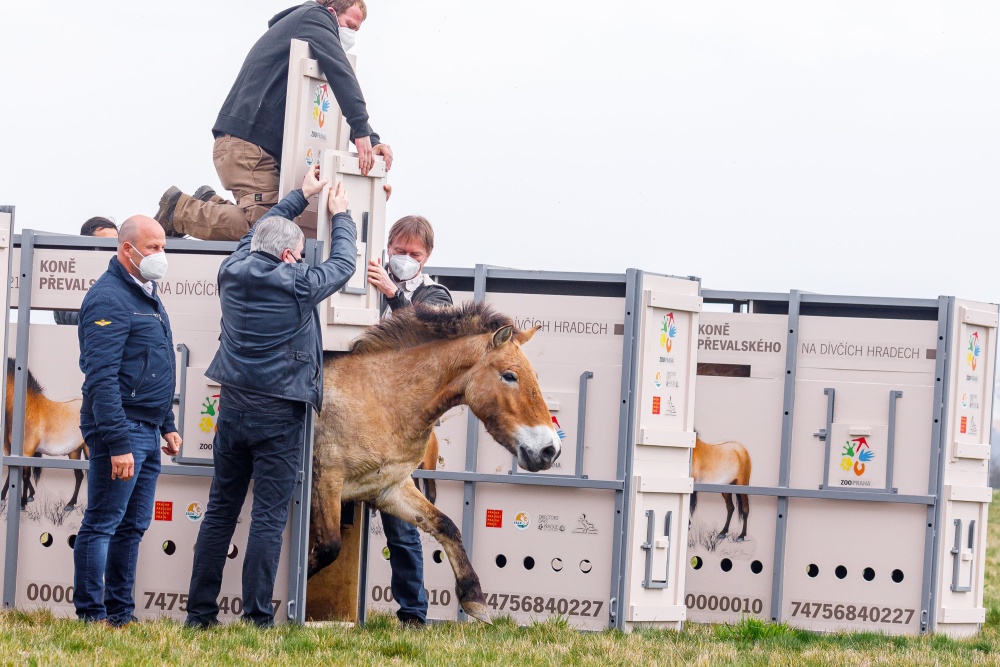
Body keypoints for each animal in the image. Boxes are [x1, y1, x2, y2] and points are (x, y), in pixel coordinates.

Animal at [2, 360, 87, 512]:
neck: (28, 409)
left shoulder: (27, 451)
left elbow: (25, 475)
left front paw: (22, 503)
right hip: (75, 451)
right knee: (79, 476)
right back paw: (70, 504)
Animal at [312, 302, 564, 620]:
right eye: (509, 376)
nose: (550, 450)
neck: (379, 398)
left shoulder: (389, 489)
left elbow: (446, 526)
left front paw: (474, 598)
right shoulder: (326, 481)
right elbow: (328, 547)